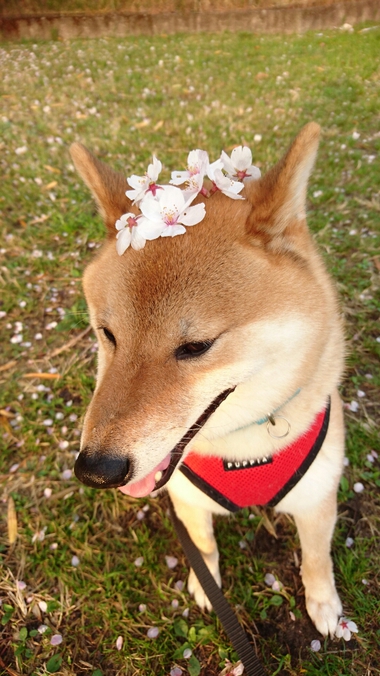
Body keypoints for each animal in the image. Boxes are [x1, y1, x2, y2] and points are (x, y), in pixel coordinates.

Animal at [70, 124, 344, 636]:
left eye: (196, 347)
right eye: (107, 334)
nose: (96, 470)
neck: (244, 448)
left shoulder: (318, 496)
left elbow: (318, 559)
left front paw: (325, 605)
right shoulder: (186, 497)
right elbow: (202, 544)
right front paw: (206, 584)